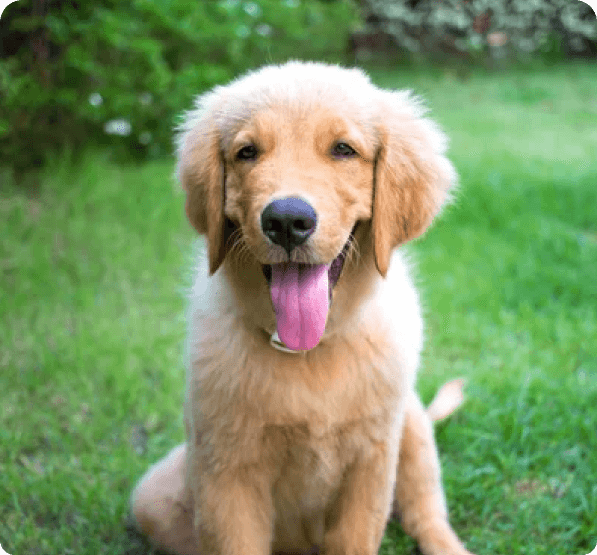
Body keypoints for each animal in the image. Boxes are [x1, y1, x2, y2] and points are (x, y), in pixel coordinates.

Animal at [130, 60, 474, 555]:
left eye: (343, 150)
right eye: (247, 152)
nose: (287, 221)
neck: (308, 352)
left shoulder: (371, 464)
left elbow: (358, 538)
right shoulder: (226, 471)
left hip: (410, 425)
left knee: (426, 512)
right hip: (154, 495)